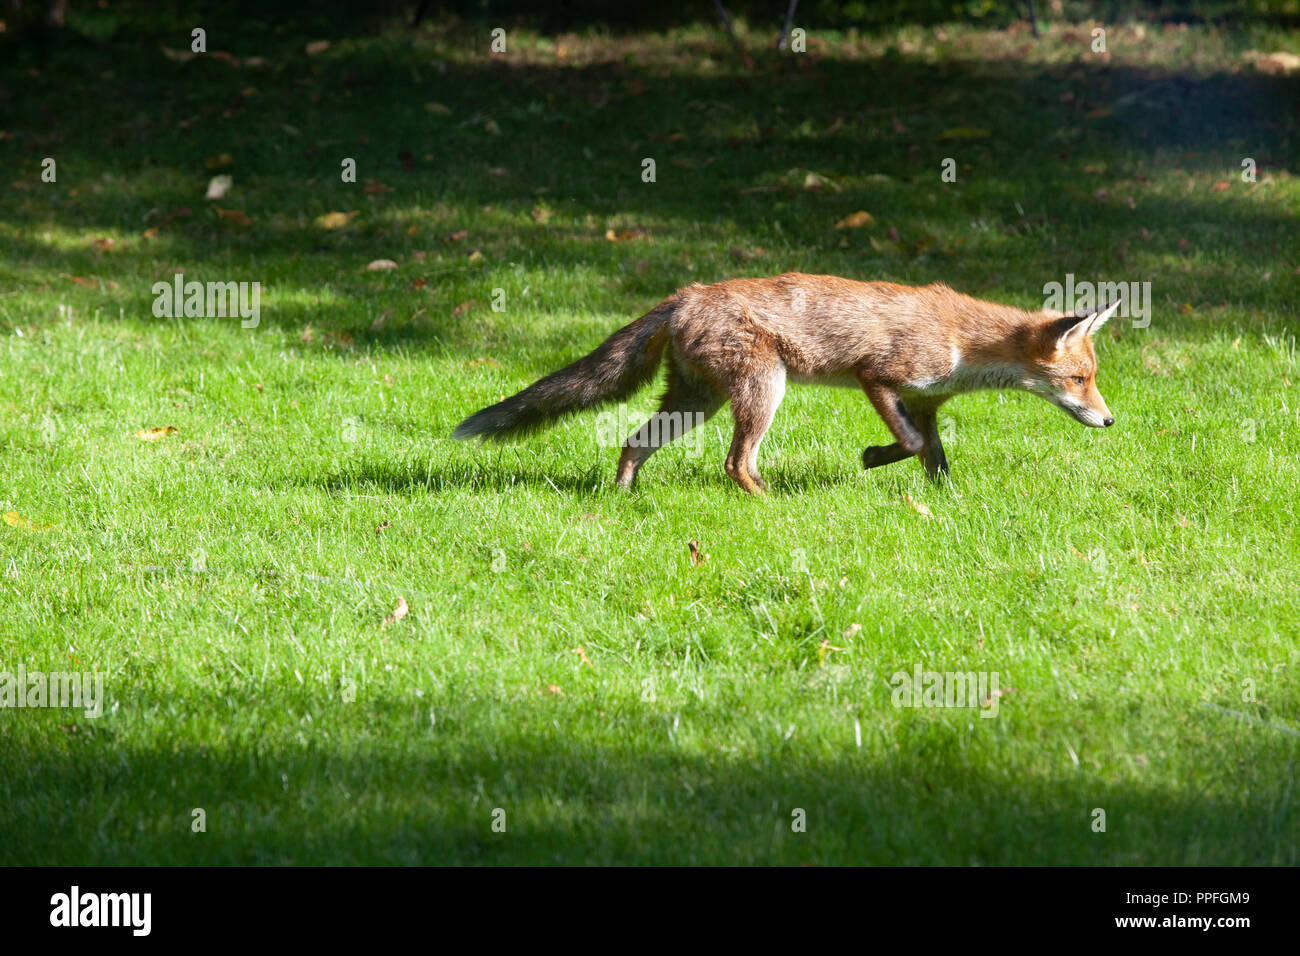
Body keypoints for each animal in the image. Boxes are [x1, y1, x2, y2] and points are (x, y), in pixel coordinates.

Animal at [454, 270, 1118, 489]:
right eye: (1080, 378)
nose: (1111, 420)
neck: (963, 343)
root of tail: (686, 293)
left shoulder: (926, 401)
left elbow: (933, 456)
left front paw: (943, 502)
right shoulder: (878, 376)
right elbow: (906, 444)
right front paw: (873, 458)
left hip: (696, 401)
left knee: (634, 441)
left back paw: (619, 498)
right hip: (760, 390)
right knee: (736, 463)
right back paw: (770, 504)